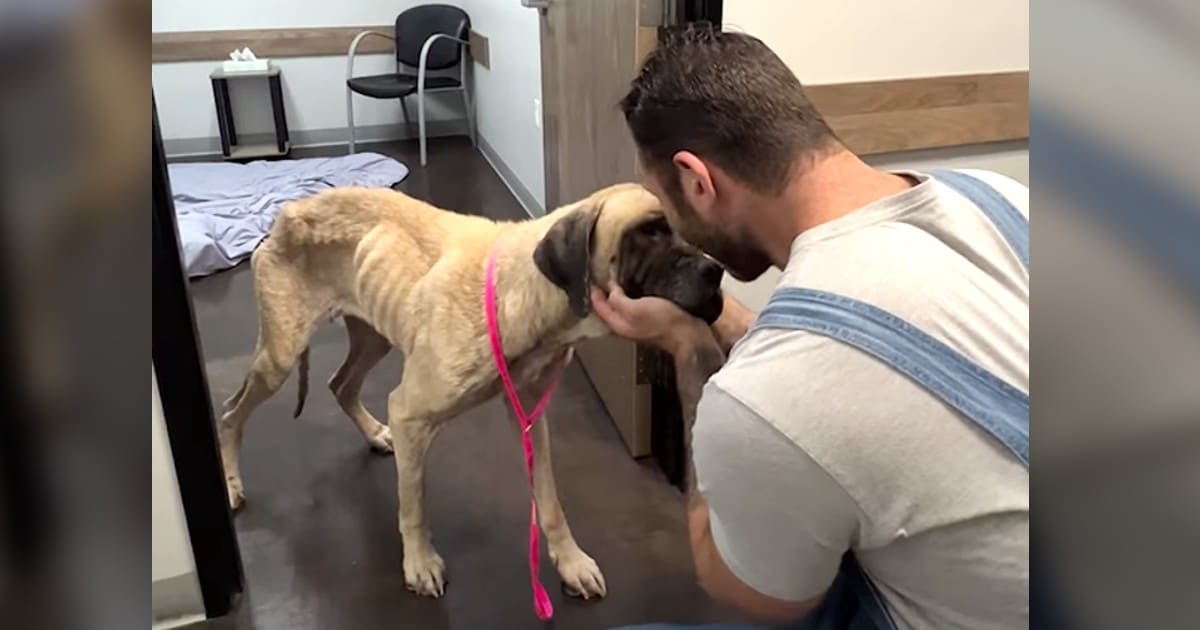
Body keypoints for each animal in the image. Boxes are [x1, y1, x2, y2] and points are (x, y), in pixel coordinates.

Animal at [216, 180, 720, 600]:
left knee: (339, 385)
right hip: (279, 358)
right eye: (648, 232)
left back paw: (373, 434)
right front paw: (419, 563)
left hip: (372, 337)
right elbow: (413, 502)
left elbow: (550, 500)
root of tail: (286, 214)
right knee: (230, 413)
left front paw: (570, 561)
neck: (533, 295)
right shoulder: (410, 412)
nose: (716, 273)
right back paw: (231, 482)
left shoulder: (530, 415)